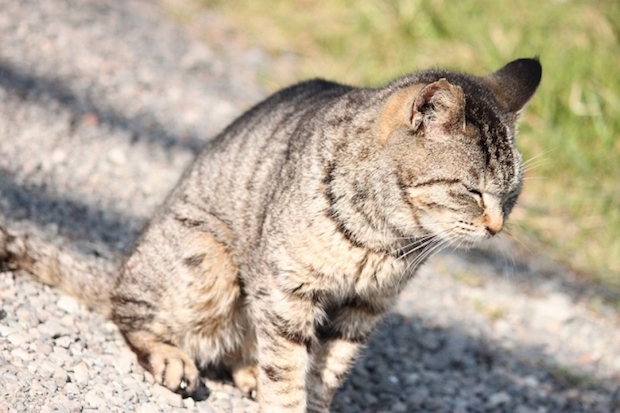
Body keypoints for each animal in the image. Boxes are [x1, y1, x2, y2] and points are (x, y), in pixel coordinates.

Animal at [0, 58, 540, 412]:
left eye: (511, 194)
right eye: (471, 191)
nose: (497, 227)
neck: (385, 241)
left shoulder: (364, 308)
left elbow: (327, 370)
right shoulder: (286, 290)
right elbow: (287, 368)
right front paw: (283, 397)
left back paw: (247, 373)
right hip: (207, 263)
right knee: (130, 314)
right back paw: (174, 358)